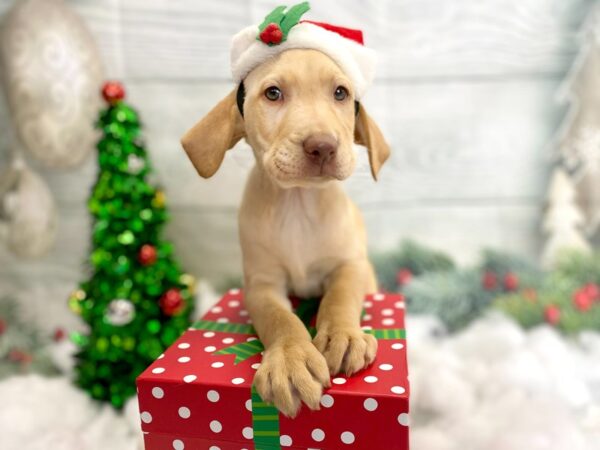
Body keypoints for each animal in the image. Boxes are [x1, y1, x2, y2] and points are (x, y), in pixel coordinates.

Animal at [182, 38, 390, 418]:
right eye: (273, 93)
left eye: (340, 93)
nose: (322, 146)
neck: (298, 206)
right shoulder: (261, 286)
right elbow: (280, 319)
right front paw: (291, 359)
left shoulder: (351, 266)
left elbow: (340, 297)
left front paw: (343, 335)